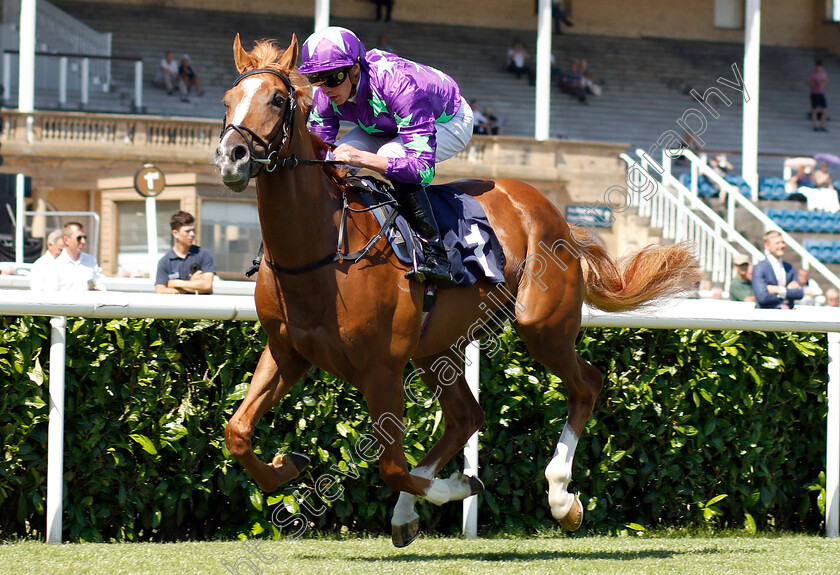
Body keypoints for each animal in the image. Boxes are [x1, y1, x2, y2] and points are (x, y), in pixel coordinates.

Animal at [213, 33, 700, 548]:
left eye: (278, 99)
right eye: (226, 100)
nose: (231, 156)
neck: (322, 251)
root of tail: (555, 212)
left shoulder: (381, 370)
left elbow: (392, 466)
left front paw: (460, 486)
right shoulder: (287, 352)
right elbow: (237, 432)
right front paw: (287, 464)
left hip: (540, 324)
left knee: (584, 384)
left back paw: (561, 499)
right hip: (436, 347)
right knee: (468, 416)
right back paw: (407, 514)